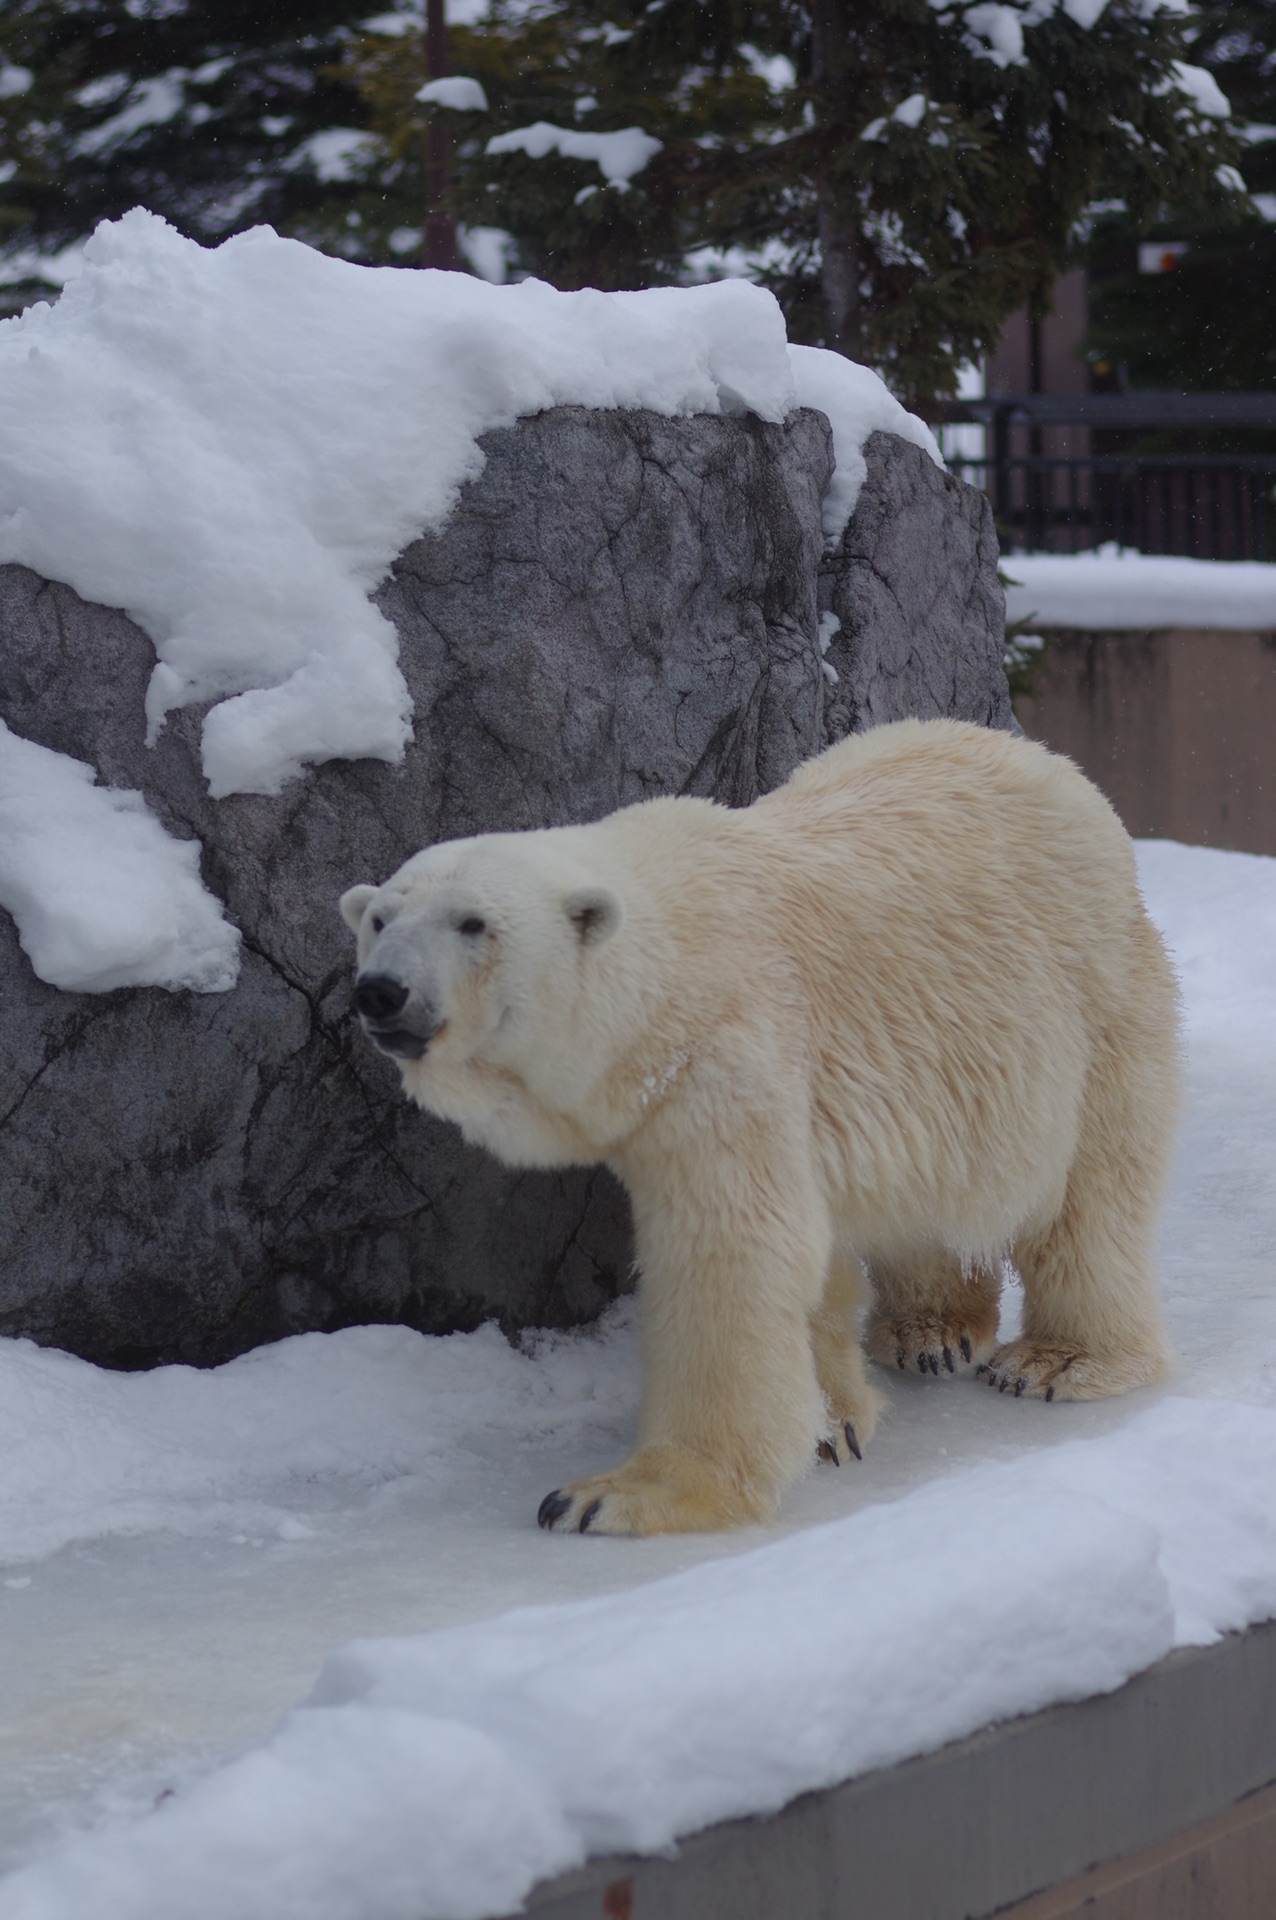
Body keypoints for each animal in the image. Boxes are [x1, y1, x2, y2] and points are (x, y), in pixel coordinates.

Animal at [337, 714, 1174, 1536]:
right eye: (379, 918)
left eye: (473, 923)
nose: (381, 991)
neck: (669, 962)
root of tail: (1049, 762)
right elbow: (810, 1256)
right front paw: (833, 1422)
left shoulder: (723, 1059)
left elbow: (731, 1254)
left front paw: (618, 1494)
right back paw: (932, 1332)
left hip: (1092, 996)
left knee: (1090, 1191)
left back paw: (1060, 1360)